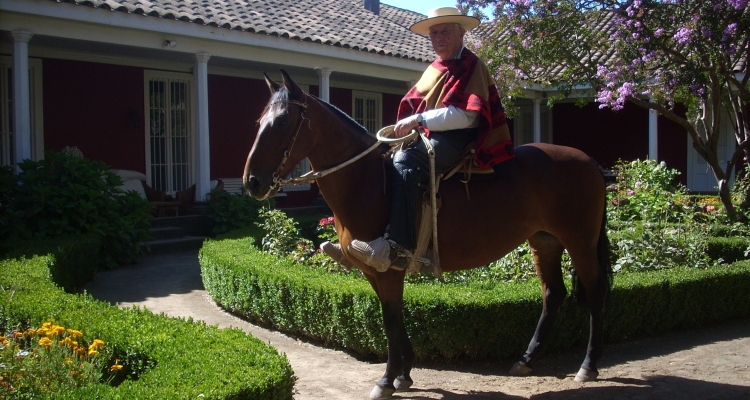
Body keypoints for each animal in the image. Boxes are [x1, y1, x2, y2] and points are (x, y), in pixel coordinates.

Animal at [244, 70, 612, 398]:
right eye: (258, 120)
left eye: (281, 122)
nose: (252, 182)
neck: (368, 181)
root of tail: (589, 161)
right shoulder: (374, 271)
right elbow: (393, 319)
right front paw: (404, 372)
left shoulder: (388, 268)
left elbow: (389, 320)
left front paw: (387, 379)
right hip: (544, 241)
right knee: (553, 294)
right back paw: (526, 359)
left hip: (580, 242)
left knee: (596, 293)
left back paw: (588, 366)